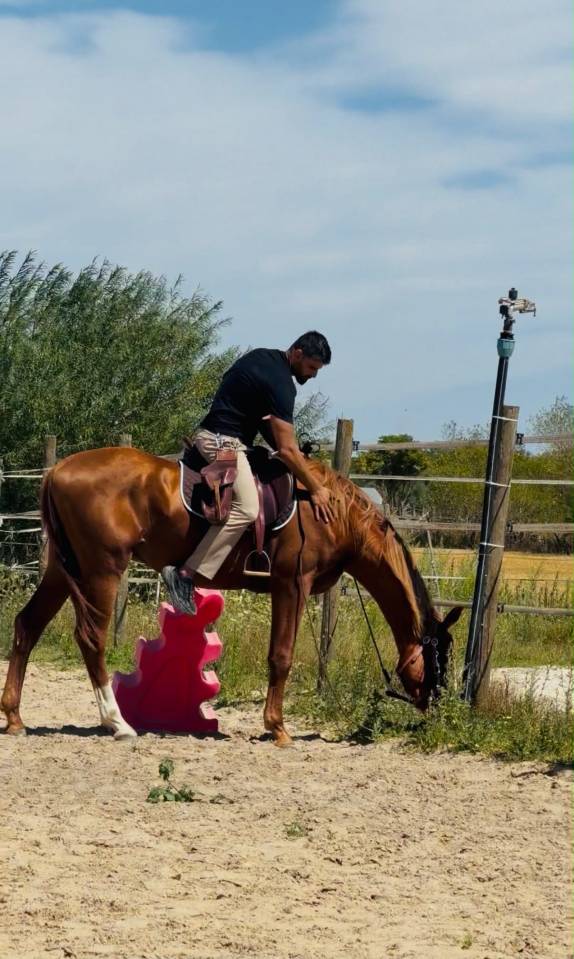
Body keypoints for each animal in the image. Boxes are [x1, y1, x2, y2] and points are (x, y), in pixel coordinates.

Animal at [1, 447, 463, 744]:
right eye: (439, 656)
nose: (438, 708)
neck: (330, 512)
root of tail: (58, 469)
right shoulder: (291, 585)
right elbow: (282, 656)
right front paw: (277, 727)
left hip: (63, 572)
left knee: (27, 625)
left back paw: (15, 716)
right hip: (101, 570)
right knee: (90, 639)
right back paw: (117, 723)